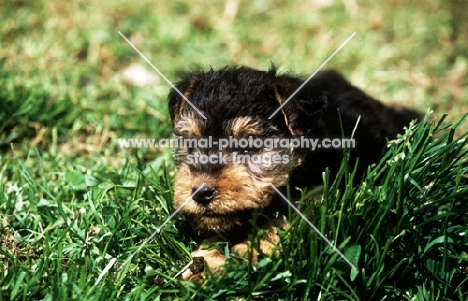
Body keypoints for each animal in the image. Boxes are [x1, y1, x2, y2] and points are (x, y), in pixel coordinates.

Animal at [167, 65, 420, 278]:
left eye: (248, 145)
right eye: (192, 142)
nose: (201, 192)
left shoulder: (317, 195)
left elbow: (281, 226)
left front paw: (239, 254)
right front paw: (207, 256)